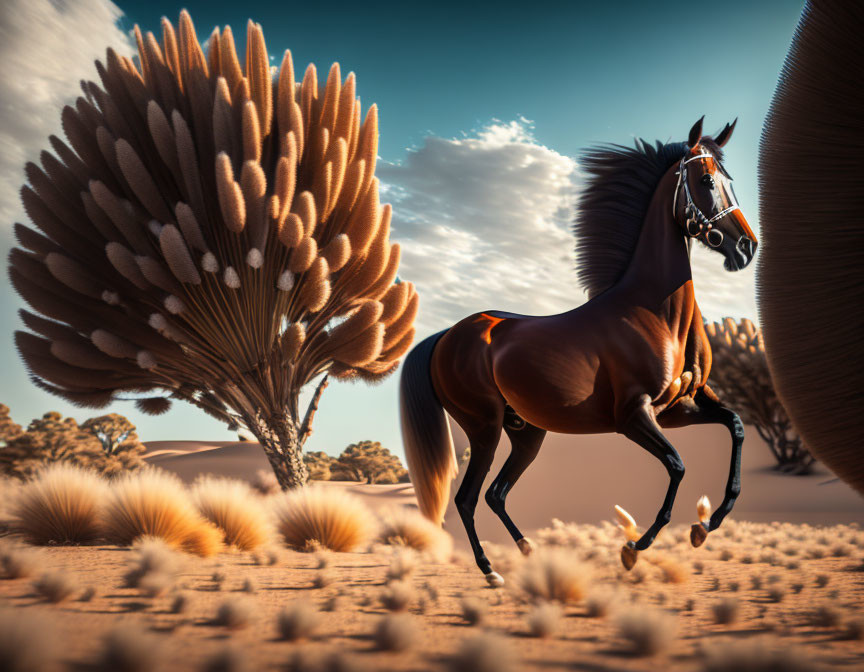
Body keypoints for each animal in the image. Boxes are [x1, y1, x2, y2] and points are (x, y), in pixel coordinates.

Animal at [398, 118, 756, 584]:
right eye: (707, 180)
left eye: (730, 180)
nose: (746, 248)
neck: (655, 313)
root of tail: (445, 336)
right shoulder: (634, 416)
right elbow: (677, 465)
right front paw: (634, 548)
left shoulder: (679, 407)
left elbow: (736, 426)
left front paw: (706, 524)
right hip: (484, 428)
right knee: (467, 498)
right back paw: (492, 571)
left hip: (526, 432)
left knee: (495, 494)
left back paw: (528, 551)